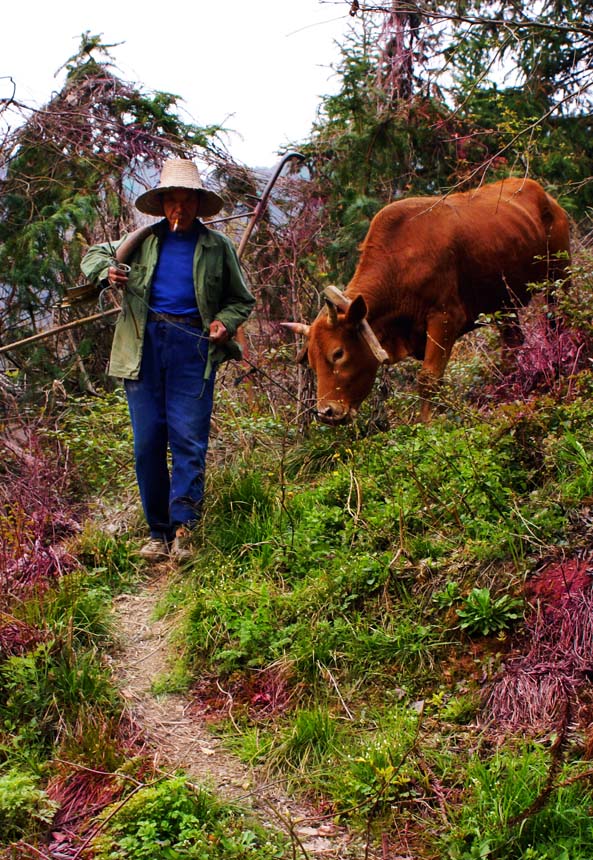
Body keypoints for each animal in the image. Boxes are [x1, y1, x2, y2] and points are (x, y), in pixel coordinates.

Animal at [284, 177, 572, 424]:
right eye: (311, 361)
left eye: (338, 353)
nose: (327, 412)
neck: (399, 264)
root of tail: (546, 197)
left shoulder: (445, 317)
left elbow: (428, 379)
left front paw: (427, 423)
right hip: (503, 303)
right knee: (513, 345)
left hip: (559, 277)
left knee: (559, 323)